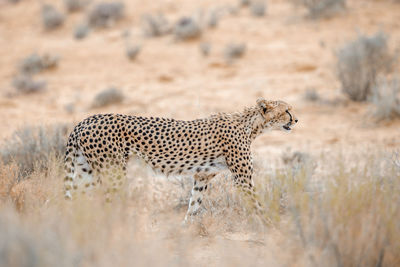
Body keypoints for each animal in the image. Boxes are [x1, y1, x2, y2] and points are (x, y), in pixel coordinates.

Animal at [64, 99, 296, 223]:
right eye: (286, 110)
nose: (296, 120)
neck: (251, 126)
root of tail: (86, 120)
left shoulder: (202, 176)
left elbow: (194, 204)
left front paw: (187, 228)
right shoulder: (243, 180)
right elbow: (257, 204)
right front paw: (271, 226)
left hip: (86, 172)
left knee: (75, 202)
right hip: (112, 173)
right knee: (104, 203)